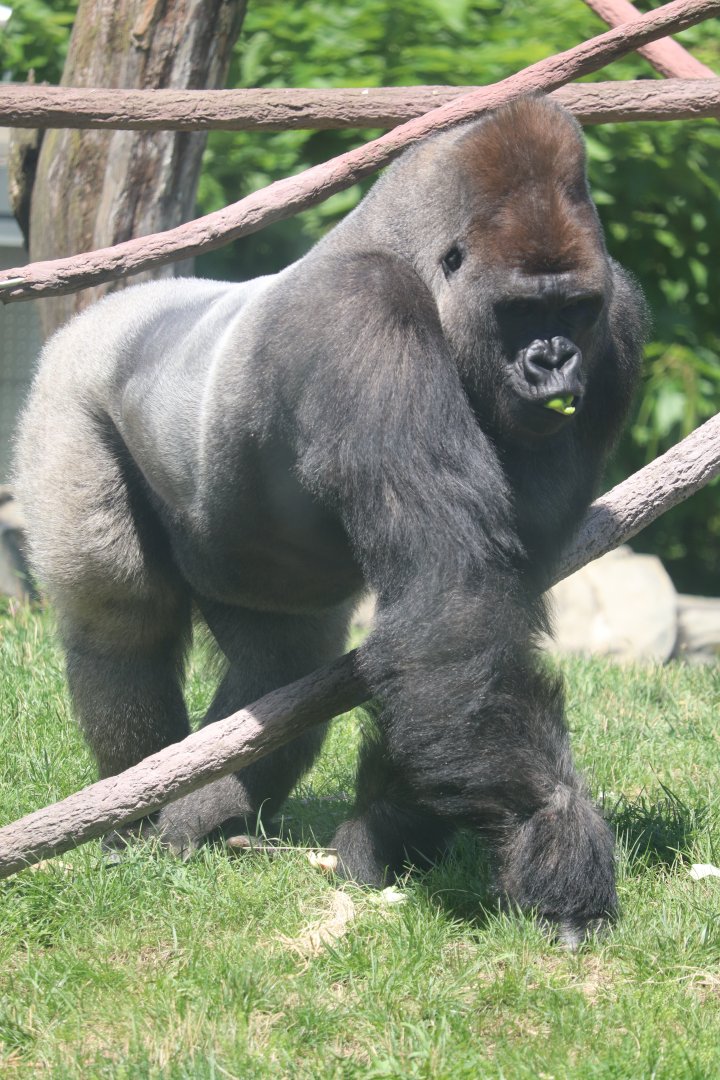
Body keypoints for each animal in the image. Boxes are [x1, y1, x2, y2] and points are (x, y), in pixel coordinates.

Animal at [15, 95, 646, 946]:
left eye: (574, 310)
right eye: (521, 312)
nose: (554, 361)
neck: (416, 262)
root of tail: (112, 303)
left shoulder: (618, 328)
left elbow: (468, 622)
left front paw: (389, 829)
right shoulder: (361, 320)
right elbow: (455, 601)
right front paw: (551, 836)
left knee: (282, 663)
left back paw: (210, 815)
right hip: (67, 391)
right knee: (120, 622)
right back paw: (136, 812)